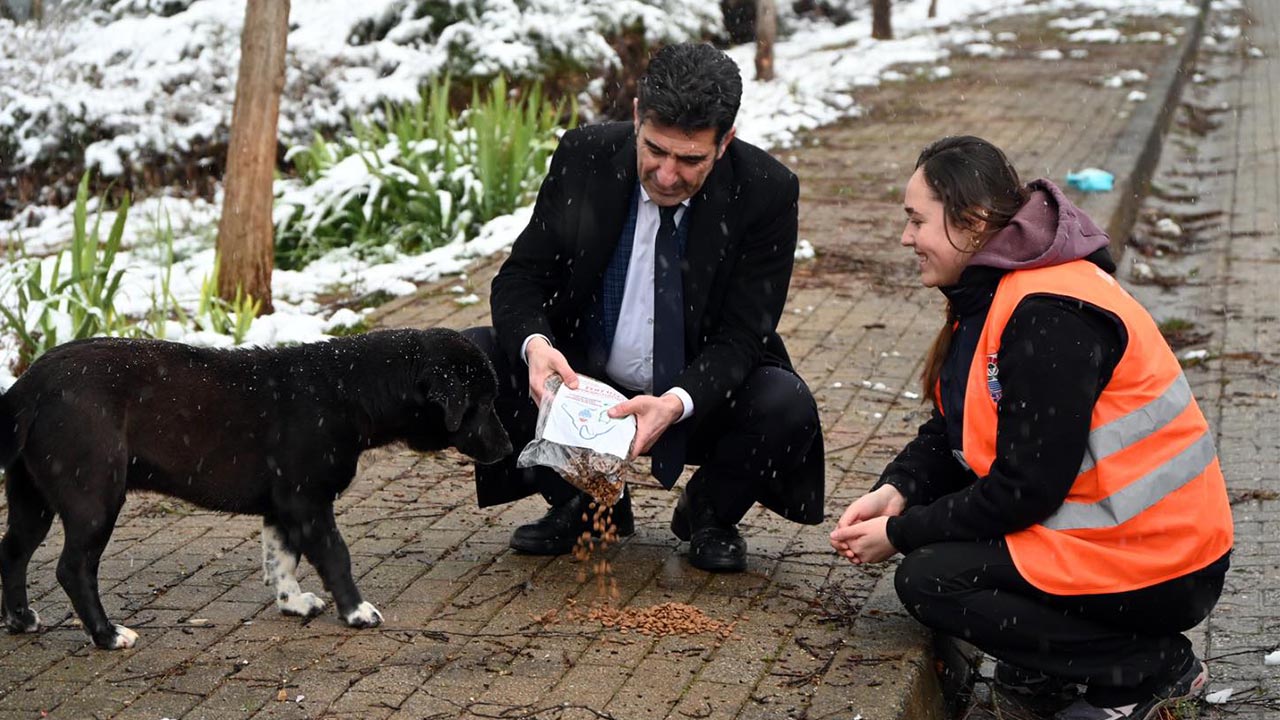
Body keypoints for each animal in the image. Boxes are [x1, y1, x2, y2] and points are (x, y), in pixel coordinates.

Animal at [0, 327, 509, 648]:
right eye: (483, 404)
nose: (507, 447)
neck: (350, 389)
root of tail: (28, 385)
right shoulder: (307, 501)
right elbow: (335, 556)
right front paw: (356, 612)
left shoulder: (284, 506)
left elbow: (281, 559)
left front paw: (293, 602)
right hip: (94, 496)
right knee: (73, 568)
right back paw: (107, 635)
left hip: (31, 497)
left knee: (13, 552)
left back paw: (20, 619)